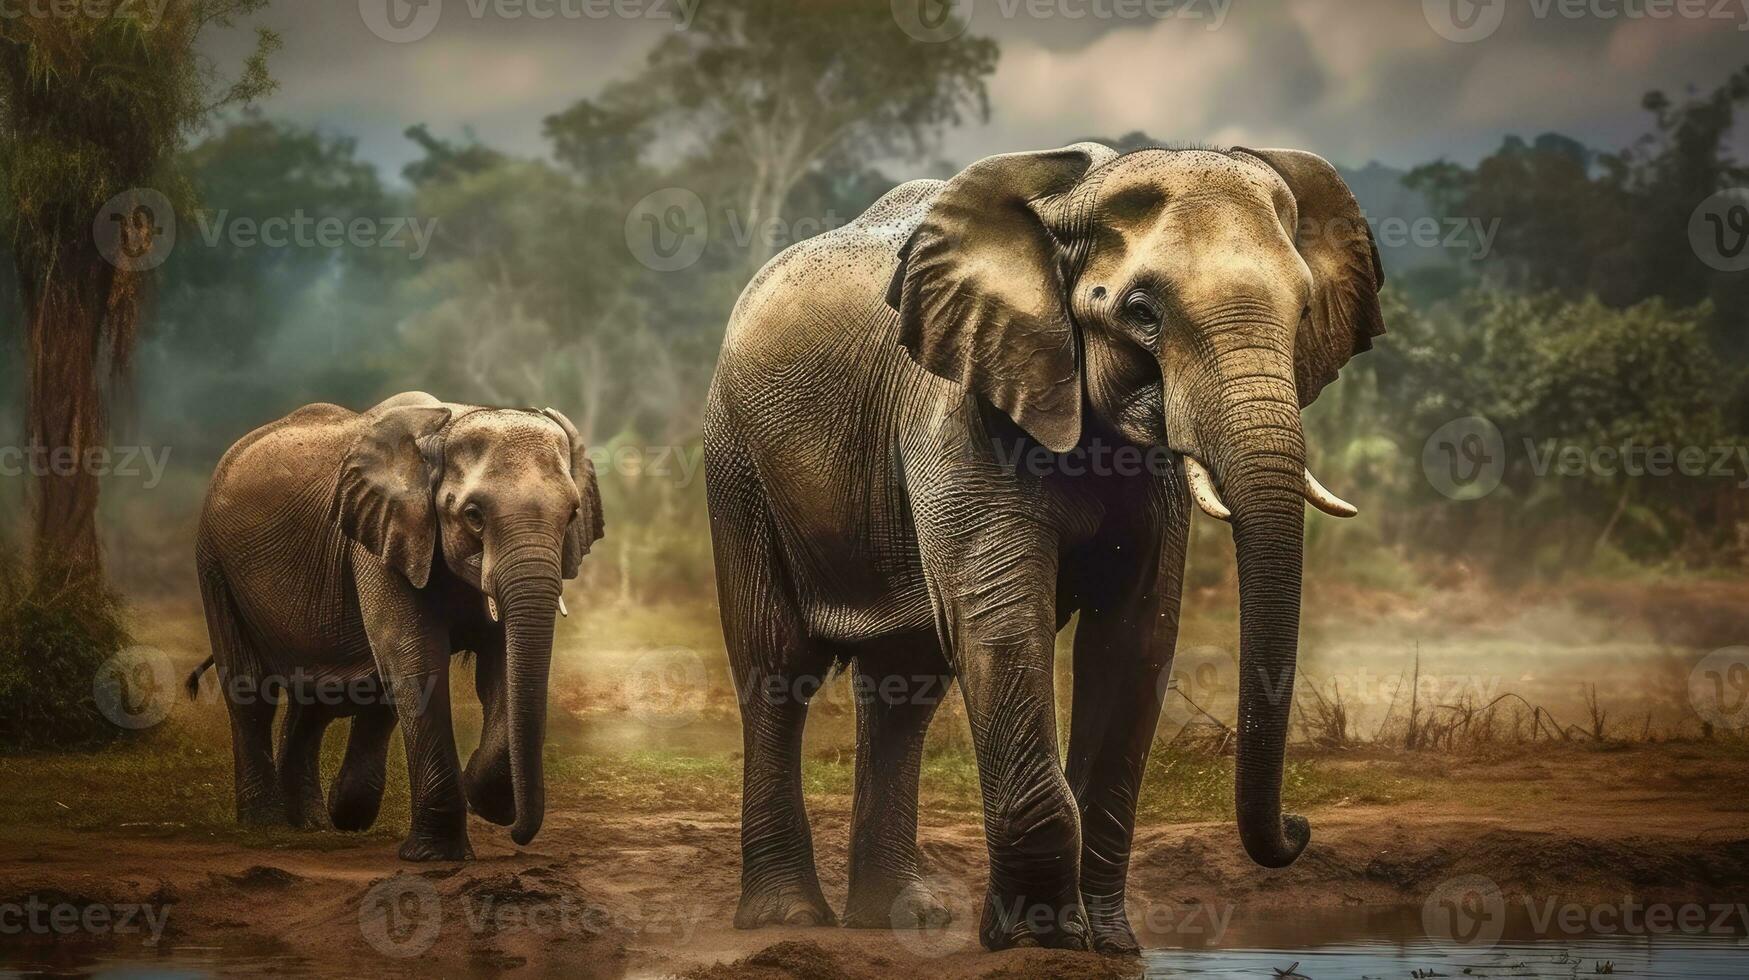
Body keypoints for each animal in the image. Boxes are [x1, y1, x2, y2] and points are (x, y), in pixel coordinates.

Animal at [190, 390, 601, 857]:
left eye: (572, 515)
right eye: (473, 515)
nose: (518, 834)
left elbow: (498, 666)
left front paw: (485, 799)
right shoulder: (379, 539)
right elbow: (415, 661)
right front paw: (437, 854)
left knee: (319, 697)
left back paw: (318, 821)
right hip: (213, 564)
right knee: (251, 692)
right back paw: (267, 825)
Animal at [703, 143, 1385, 952]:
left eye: (1304, 309)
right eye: (1141, 313)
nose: (1299, 826)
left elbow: (1135, 639)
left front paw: (1111, 943)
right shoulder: (965, 407)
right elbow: (1001, 623)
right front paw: (1041, 939)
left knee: (905, 683)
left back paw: (896, 918)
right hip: (735, 458)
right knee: (778, 667)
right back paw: (787, 917)